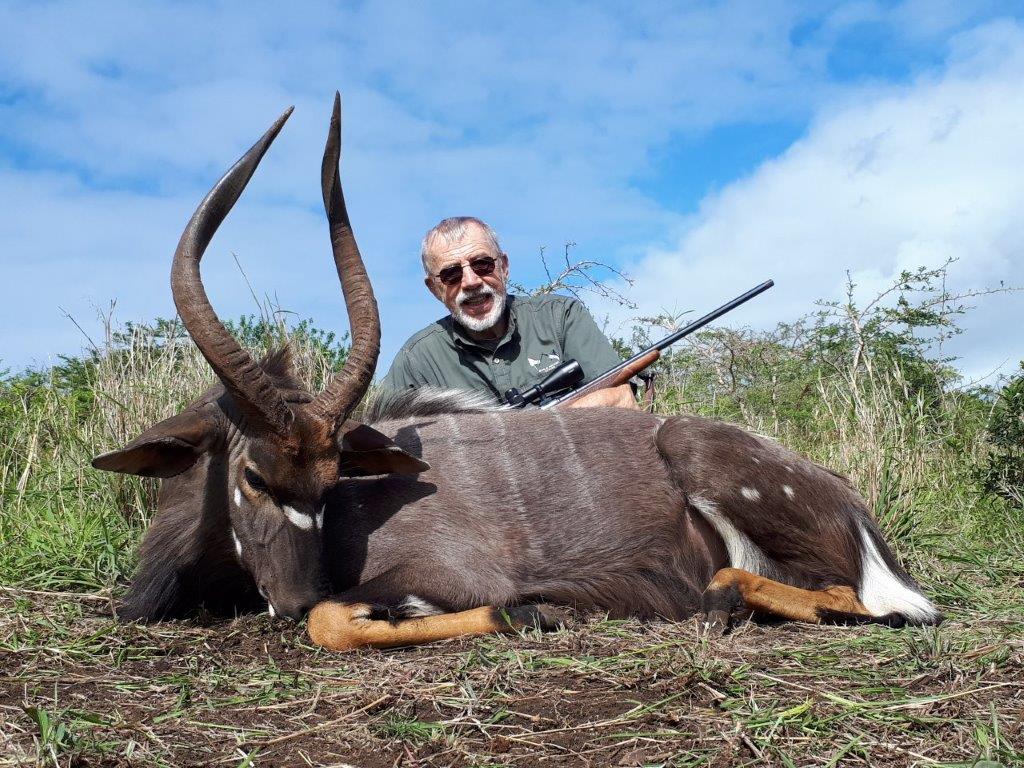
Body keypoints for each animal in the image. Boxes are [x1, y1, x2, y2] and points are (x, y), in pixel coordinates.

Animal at [92, 93, 937, 651]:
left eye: (333, 481)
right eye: (255, 476)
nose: (291, 600)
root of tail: (852, 506)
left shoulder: (446, 574)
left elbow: (342, 622)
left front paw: (531, 611)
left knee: (870, 601)